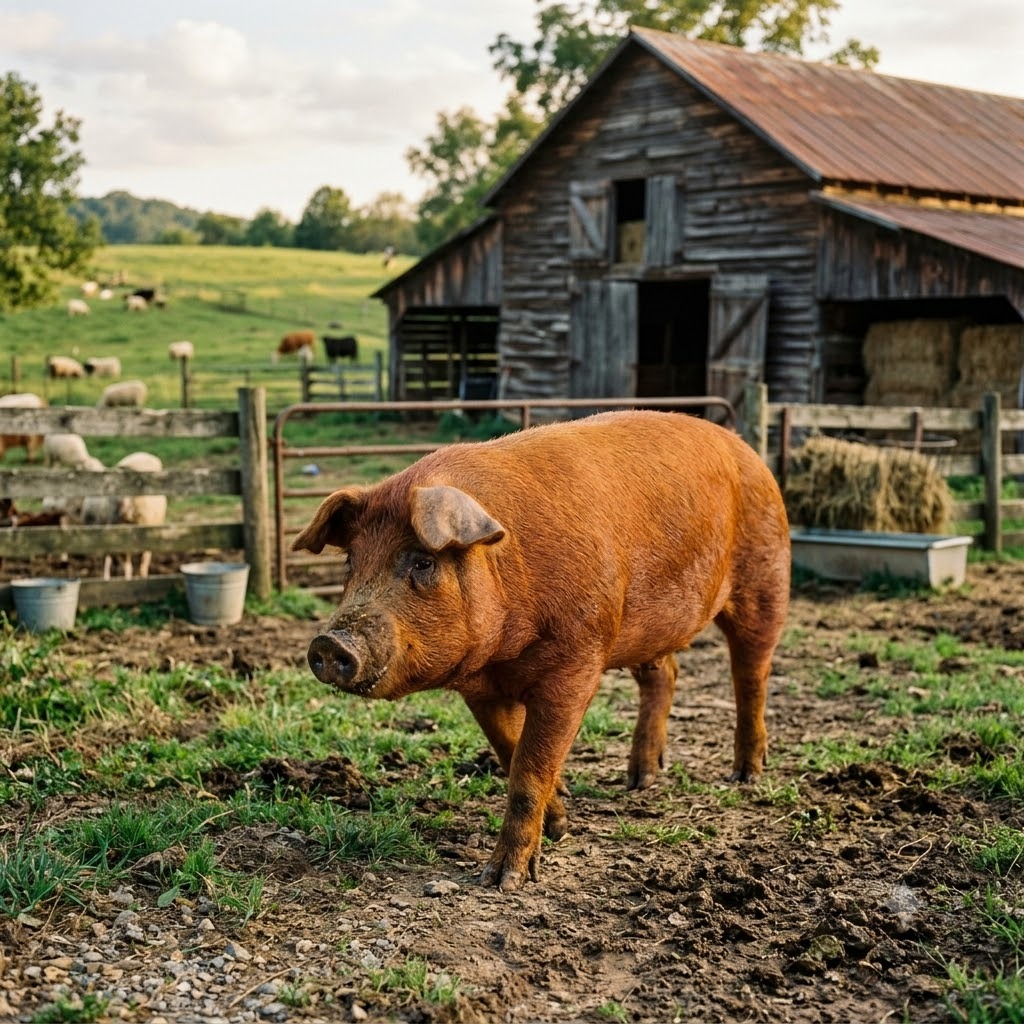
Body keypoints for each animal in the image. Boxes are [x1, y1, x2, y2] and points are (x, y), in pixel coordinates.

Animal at [292, 409, 790, 891]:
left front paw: (503, 880)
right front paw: (560, 826)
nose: (330, 643)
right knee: (665, 675)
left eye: (423, 561)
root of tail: (745, 449)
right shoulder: (481, 687)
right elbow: (510, 753)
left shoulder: (577, 662)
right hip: (644, 626)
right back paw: (639, 780)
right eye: (351, 562)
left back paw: (745, 775)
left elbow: (529, 771)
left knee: (751, 674)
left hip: (764, 579)